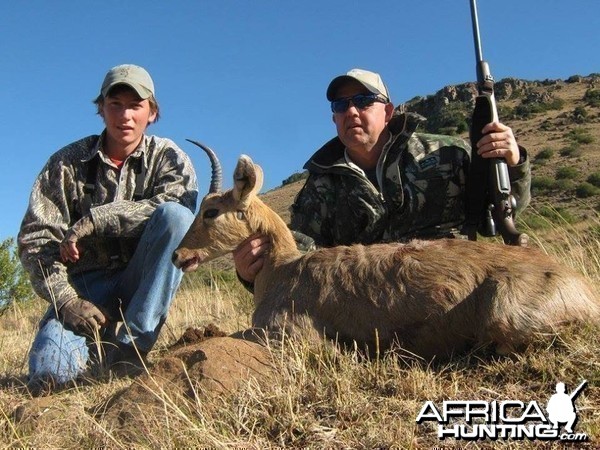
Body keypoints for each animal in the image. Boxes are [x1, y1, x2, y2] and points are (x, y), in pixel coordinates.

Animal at [172, 149, 600, 360]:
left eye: (211, 211)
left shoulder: (286, 334)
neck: (282, 270)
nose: (178, 256)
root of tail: (584, 288)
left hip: (505, 315)